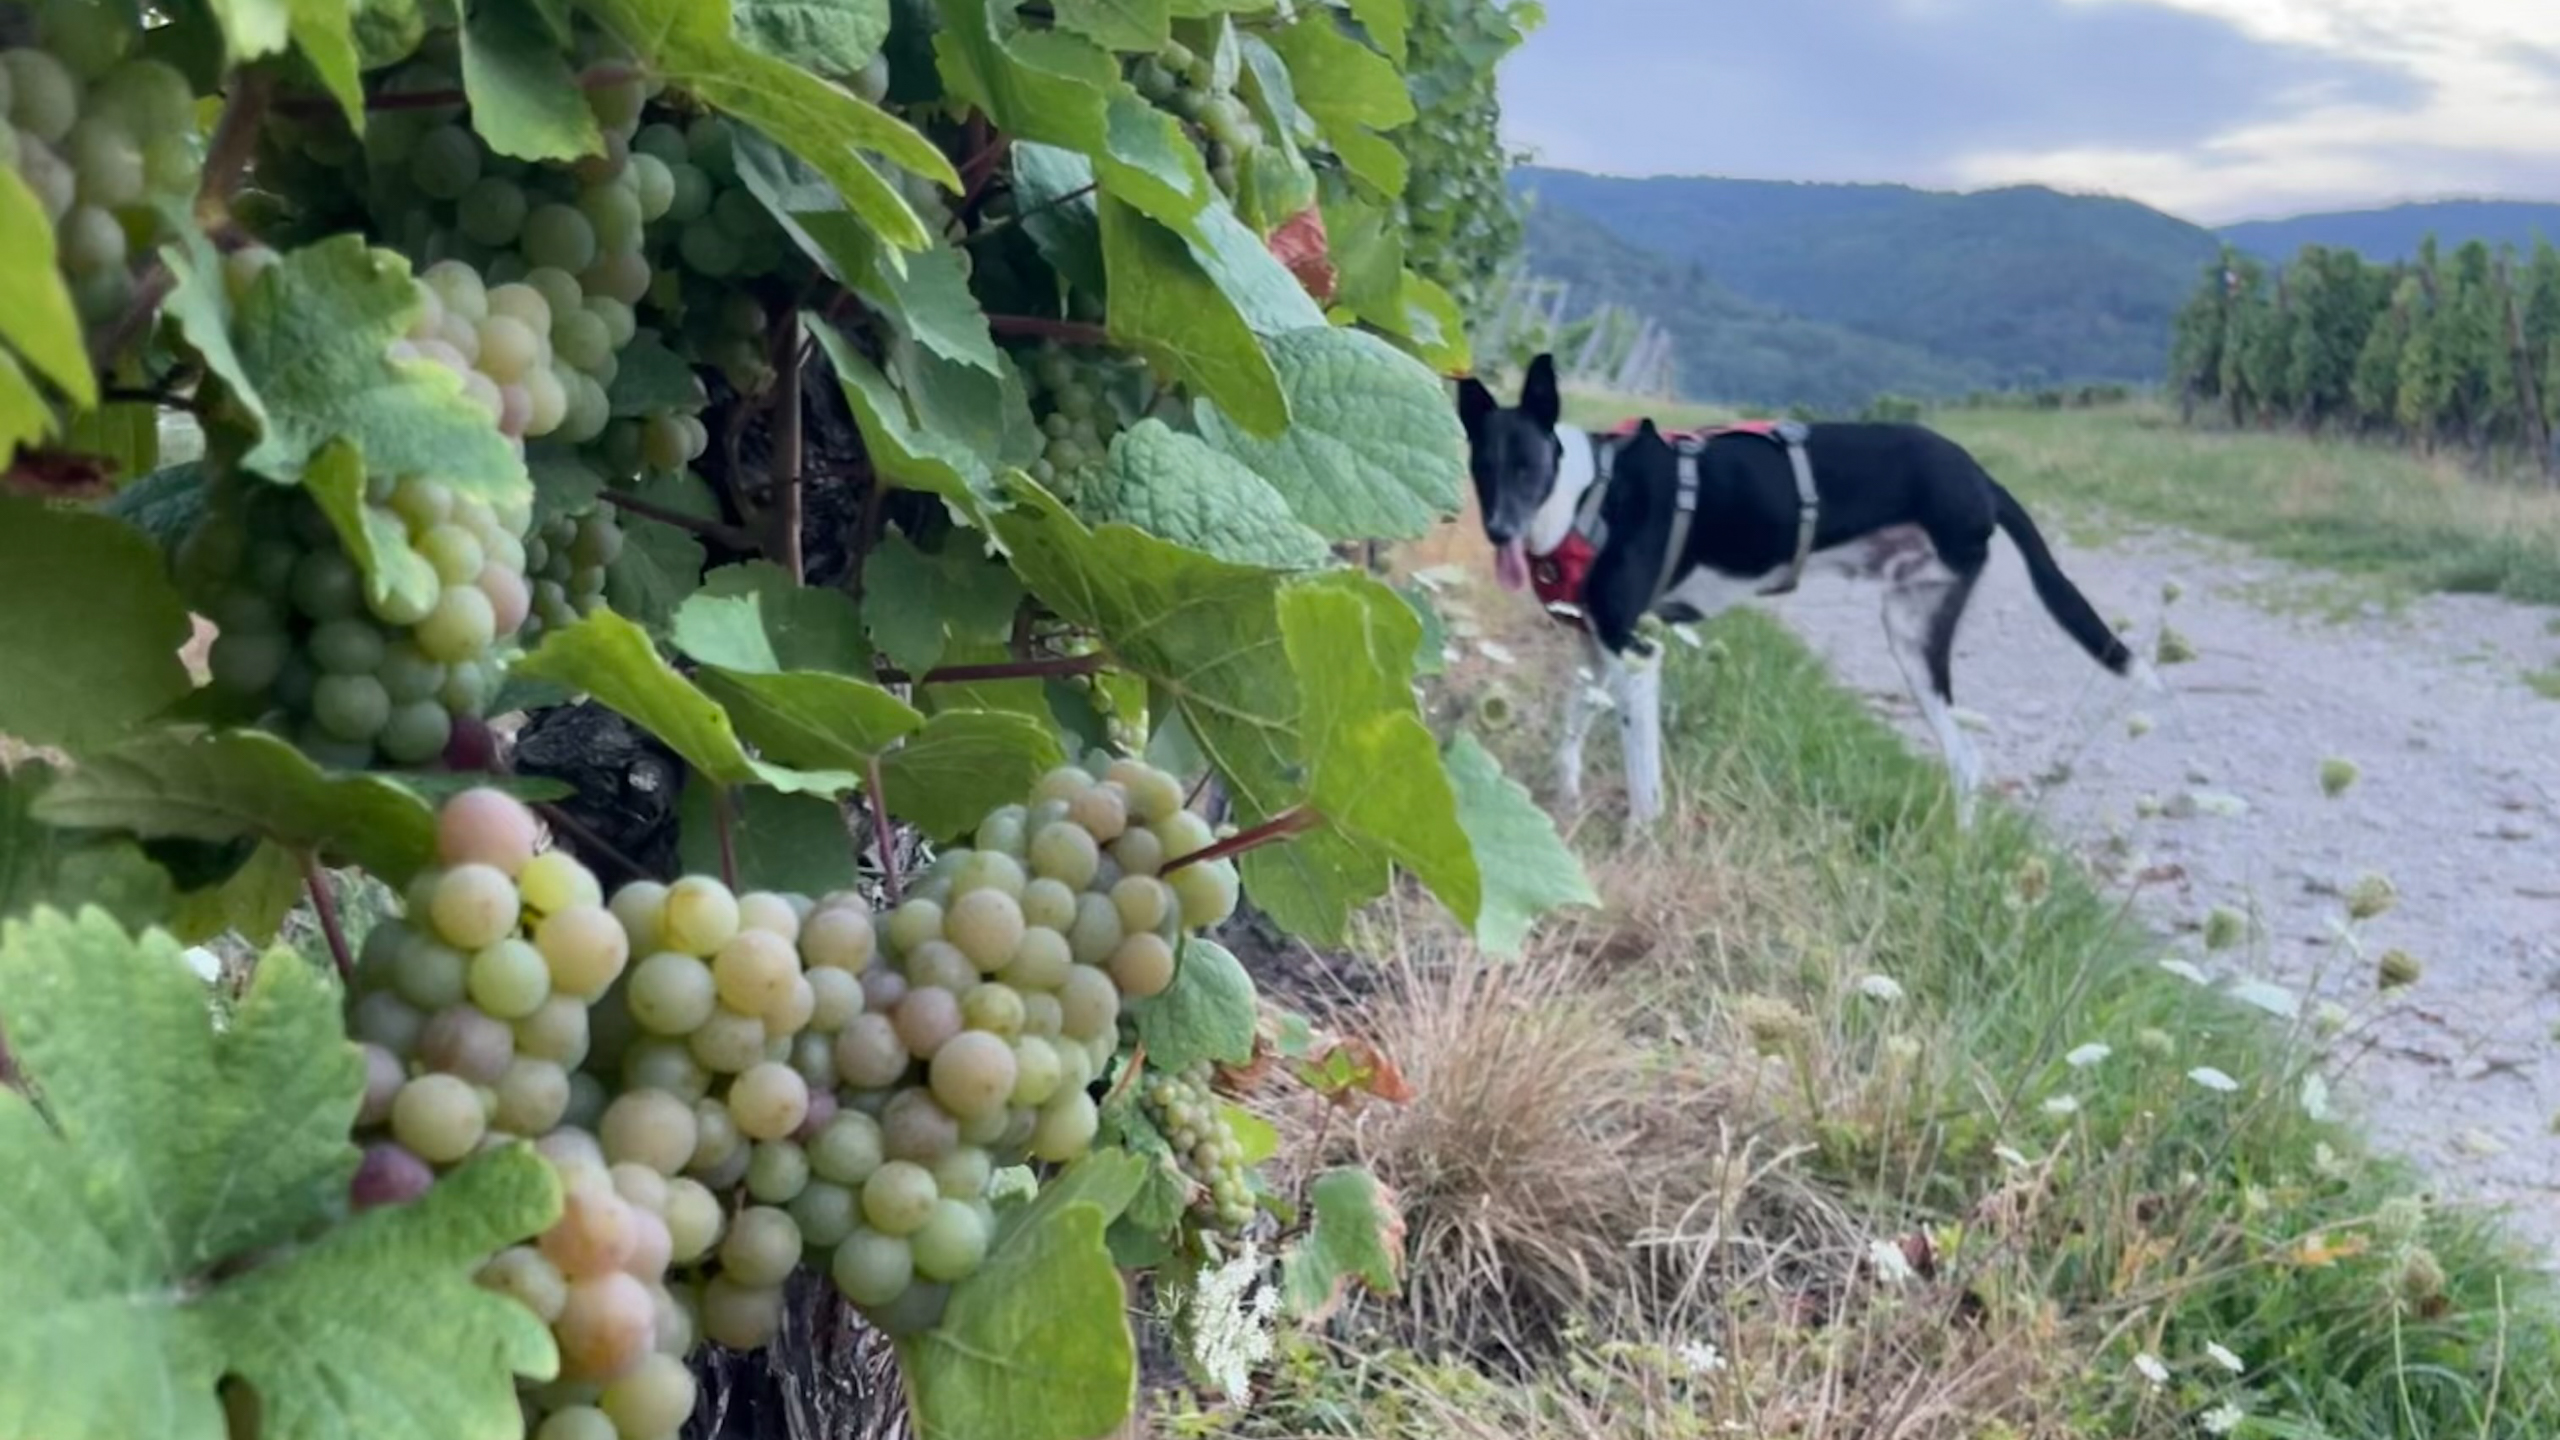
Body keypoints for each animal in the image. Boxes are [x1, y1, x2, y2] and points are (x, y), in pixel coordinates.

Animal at [1454, 351, 2150, 830]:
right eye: (1483, 468)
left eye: (1527, 469)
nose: (1499, 531)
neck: (1584, 492)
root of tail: (1979, 476)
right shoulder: (1595, 649)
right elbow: (1570, 732)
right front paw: (1564, 802)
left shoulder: (1638, 654)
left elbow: (1641, 773)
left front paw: (1639, 836)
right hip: (1912, 634)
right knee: (1966, 760)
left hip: (1914, 632)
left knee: (1965, 757)